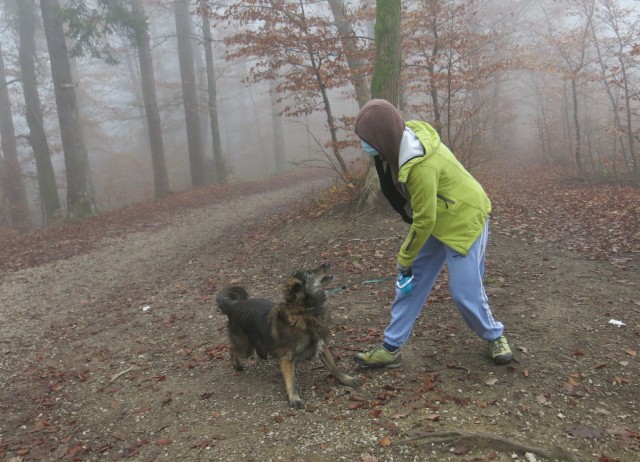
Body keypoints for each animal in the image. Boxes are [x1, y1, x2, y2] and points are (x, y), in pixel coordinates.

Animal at [218, 264, 360, 408]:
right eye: (308, 273)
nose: (327, 263)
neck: (305, 311)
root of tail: (233, 306)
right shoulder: (287, 358)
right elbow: (292, 381)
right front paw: (294, 398)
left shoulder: (321, 346)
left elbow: (334, 367)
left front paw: (346, 379)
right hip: (245, 348)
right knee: (231, 349)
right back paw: (237, 365)